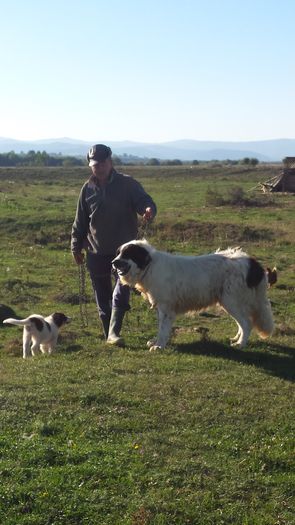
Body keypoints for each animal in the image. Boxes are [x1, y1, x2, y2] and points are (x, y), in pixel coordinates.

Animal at [112, 239, 276, 350]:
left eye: (127, 254)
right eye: (118, 253)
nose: (113, 262)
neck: (149, 266)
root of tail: (253, 264)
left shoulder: (166, 307)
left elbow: (163, 328)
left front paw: (159, 345)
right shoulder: (162, 308)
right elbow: (161, 327)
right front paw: (157, 341)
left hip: (231, 301)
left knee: (246, 323)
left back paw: (240, 343)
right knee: (242, 323)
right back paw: (237, 338)